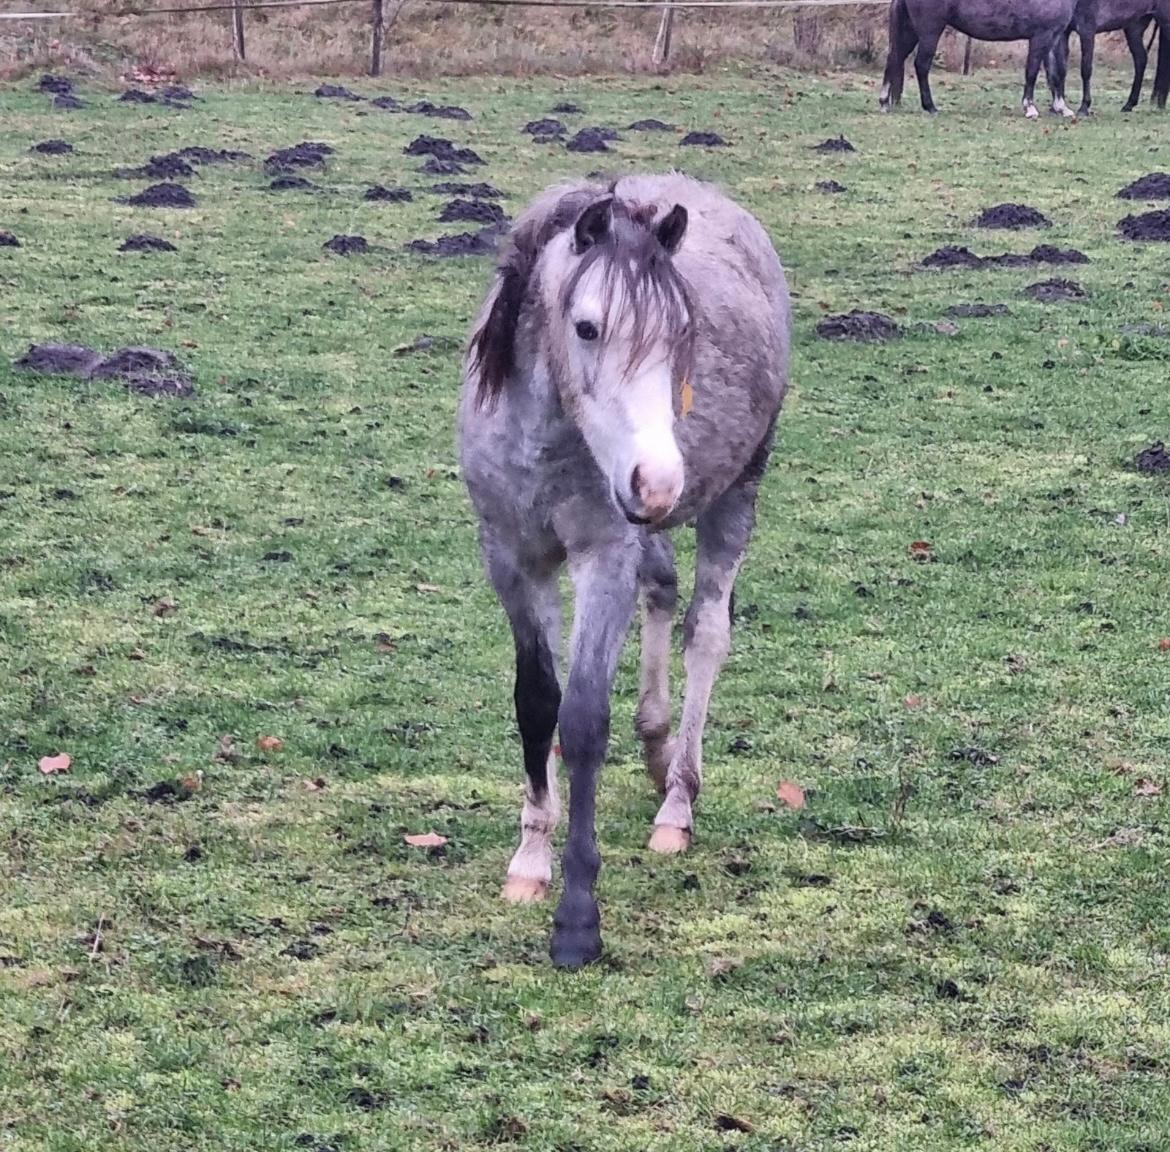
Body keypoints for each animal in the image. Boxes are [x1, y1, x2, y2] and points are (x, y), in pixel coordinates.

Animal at [458, 174, 791, 969]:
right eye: (586, 327)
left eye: (682, 332)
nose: (659, 481)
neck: (543, 441)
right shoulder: (511, 561)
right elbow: (535, 703)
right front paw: (529, 863)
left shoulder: (602, 558)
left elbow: (581, 718)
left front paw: (577, 920)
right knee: (663, 595)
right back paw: (657, 750)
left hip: (736, 491)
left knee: (705, 632)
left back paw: (678, 802)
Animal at [880, 0, 1080, 117]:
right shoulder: (1040, 37)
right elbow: (1031, 72)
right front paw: (1030, 108)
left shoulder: (1054, 37)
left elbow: (1056, 74)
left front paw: (1062, 108)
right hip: (930, 30)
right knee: (921, 65)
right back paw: (930, 107)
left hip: (910, 30)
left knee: (894, 59)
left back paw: (884, 104)